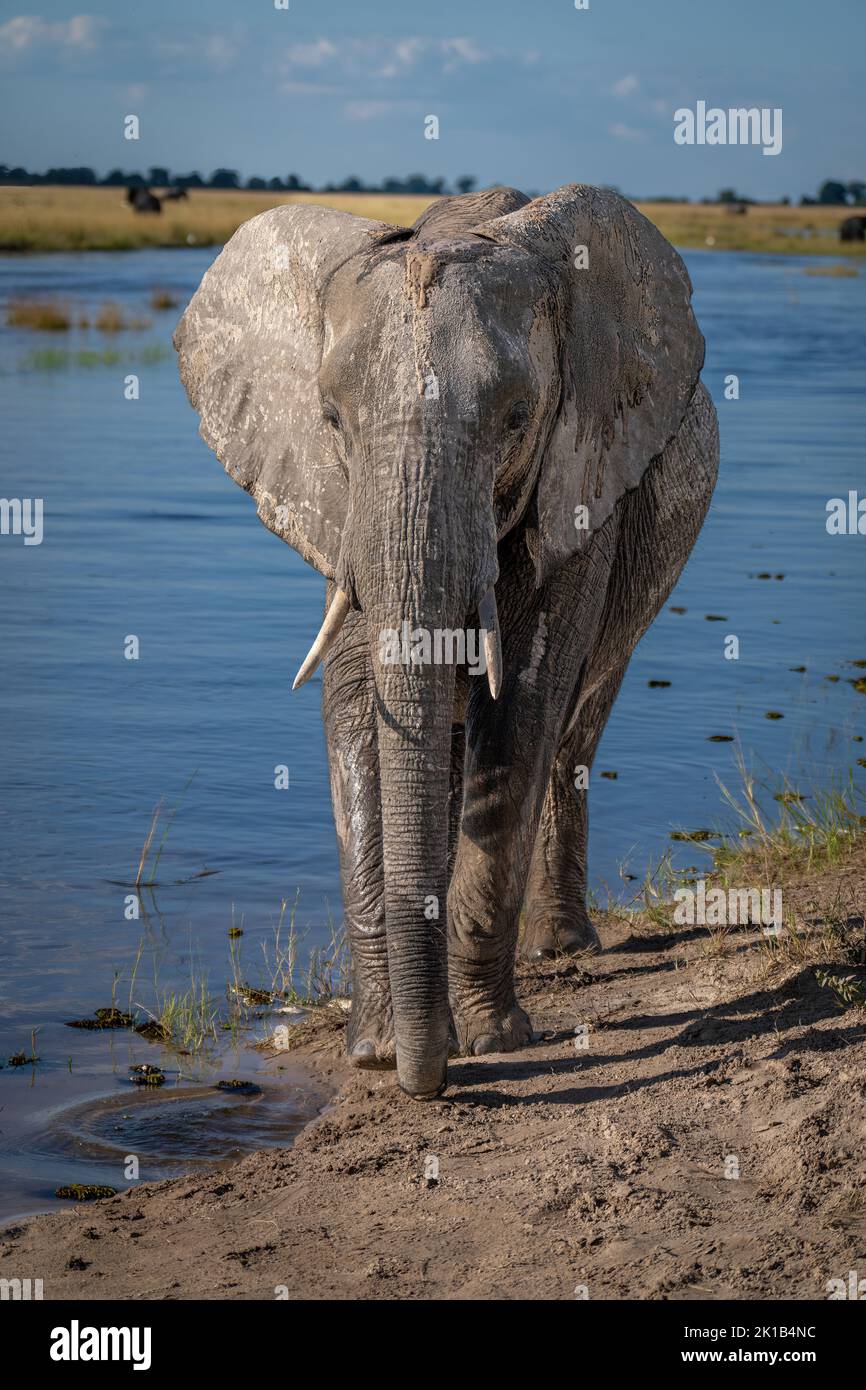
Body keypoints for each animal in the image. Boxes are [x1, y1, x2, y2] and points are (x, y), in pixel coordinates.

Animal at [175, 184, 719, 1100]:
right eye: (331, 418)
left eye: (518, 417)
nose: (427, 1080)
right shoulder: (342, 508)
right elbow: (356, 710)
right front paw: (376, 1050)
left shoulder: (578, 486)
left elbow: (524, 708)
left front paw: (493, 1040)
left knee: (577, 726)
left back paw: (561, 948)